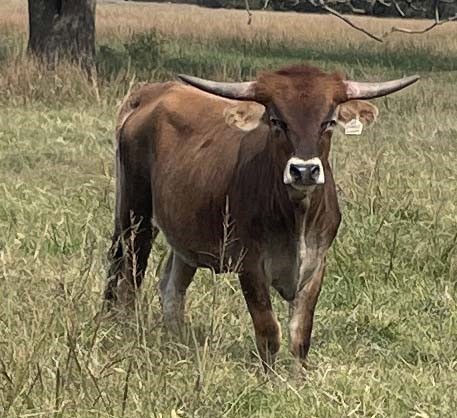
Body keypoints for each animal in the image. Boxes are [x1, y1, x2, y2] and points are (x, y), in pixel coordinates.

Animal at [105, 64, 419, 368]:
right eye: (277, 121)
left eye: (328, 121)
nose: (304, 171)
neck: (296, 219)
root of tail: (155, 91)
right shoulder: (250, 265)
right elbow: (268, 331)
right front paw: (269, 378)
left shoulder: (316, 264)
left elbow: (300, 335)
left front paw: (297, 378)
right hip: (136, 215)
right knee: (128, 273)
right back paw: (126, 325)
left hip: (183, 235)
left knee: (172, 287)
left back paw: (178, 341)